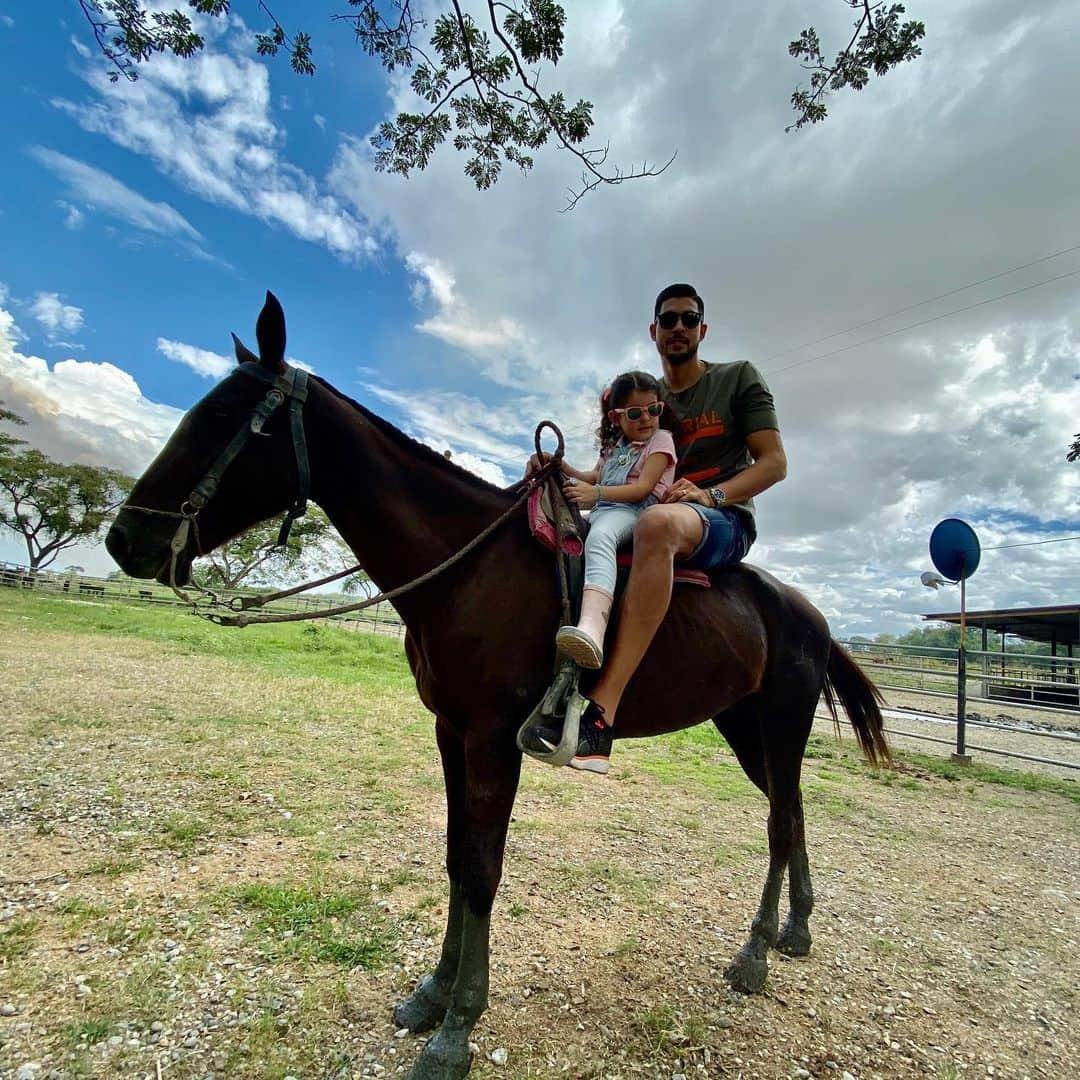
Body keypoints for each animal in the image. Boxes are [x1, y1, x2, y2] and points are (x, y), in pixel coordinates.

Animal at [105, 295, 889, 1080]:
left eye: (221, 417)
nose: (124, 540)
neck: (466, 565)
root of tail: (807, 611)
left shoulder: (492, 741)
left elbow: (482, 870)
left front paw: (457, 1029)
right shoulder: (451, 731)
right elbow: (457, 859)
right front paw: (431, 995)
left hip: (781, 725)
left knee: (780, 822)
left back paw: (755, 953)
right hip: (744, 729)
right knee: (792, 814)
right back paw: (795, 928)